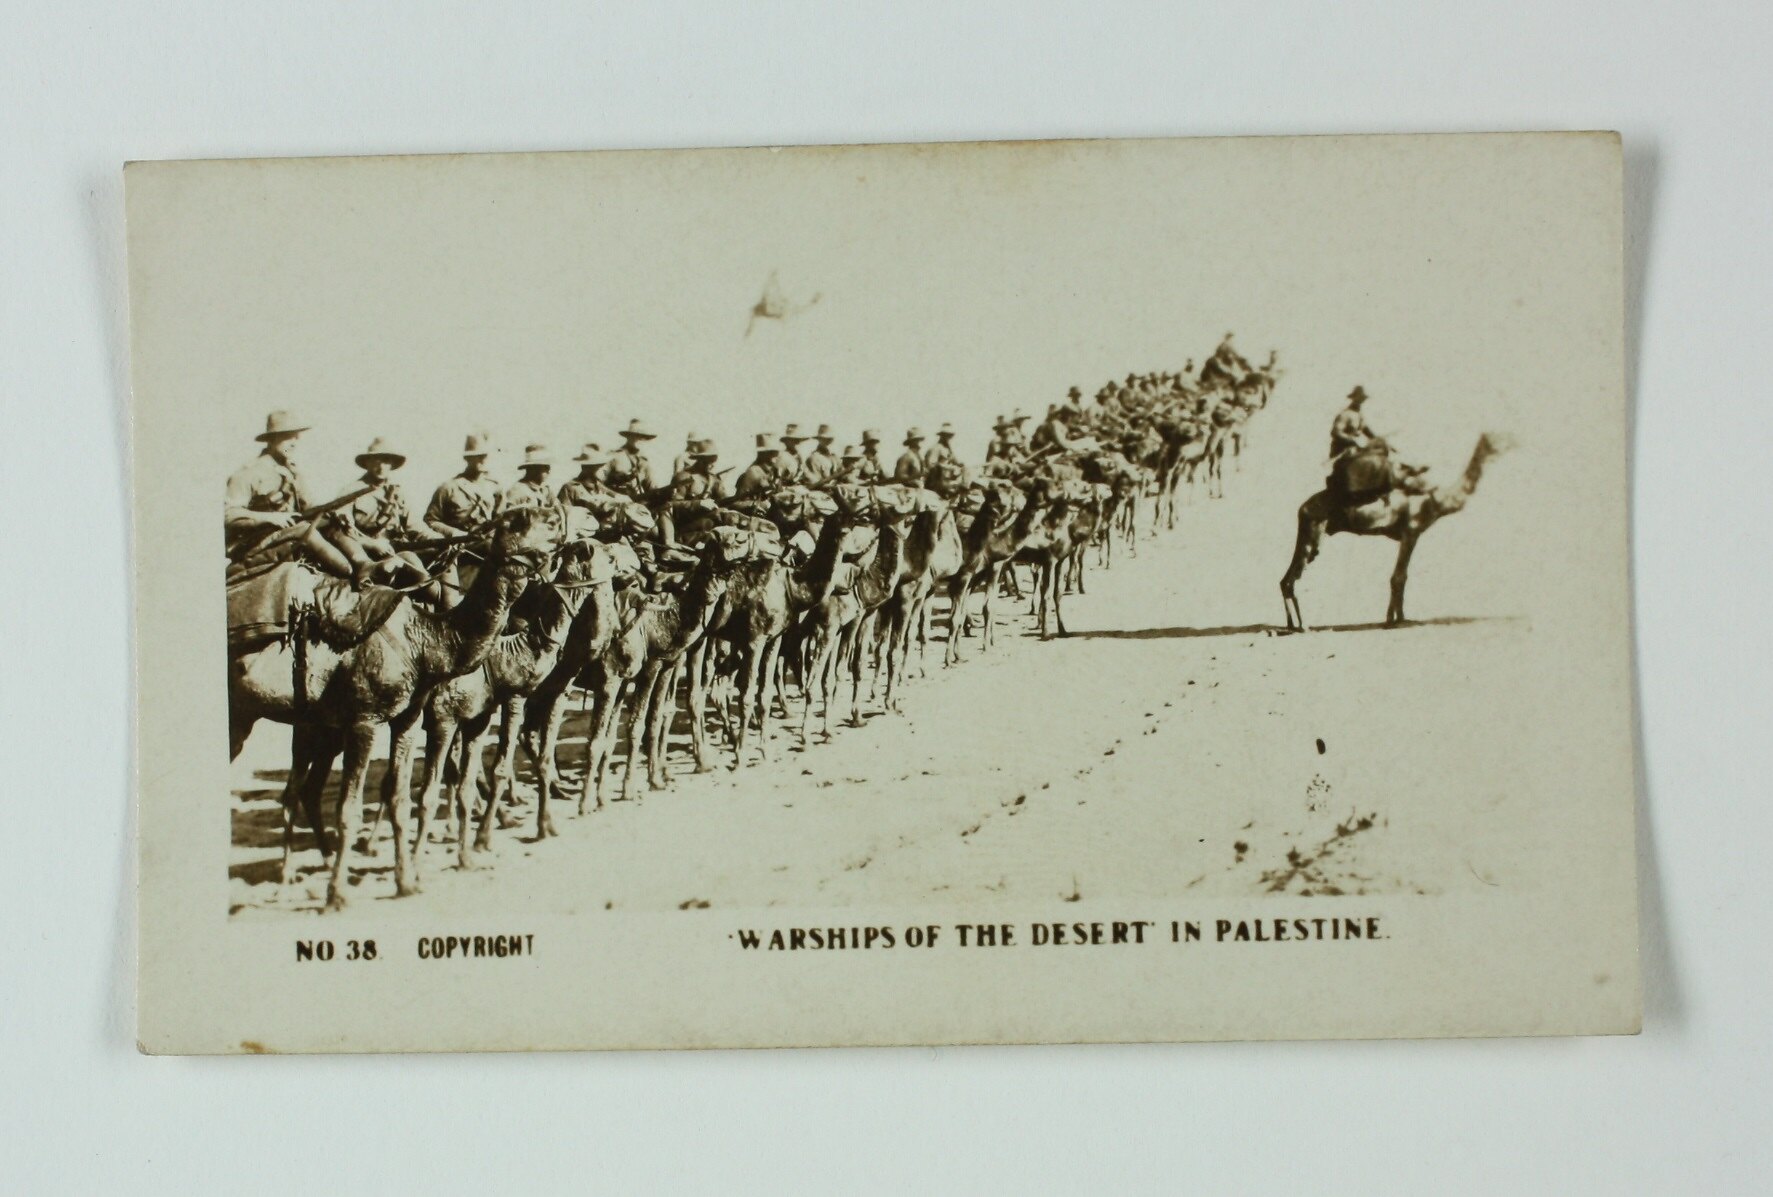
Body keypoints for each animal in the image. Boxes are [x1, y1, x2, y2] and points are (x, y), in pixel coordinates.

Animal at [294, 506, 564, 909]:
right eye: (519, 520)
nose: (558, 517)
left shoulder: (467, 716)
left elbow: (451, 781)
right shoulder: (435, 718)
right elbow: (431, 789)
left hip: (324, 729)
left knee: (307, 789)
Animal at [1280, 433, 1512, 632]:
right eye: (1499, 437)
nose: (1514, 442)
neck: (1437, 500)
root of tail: (1302, 508)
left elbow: (1401, 577)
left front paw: (1396, 618)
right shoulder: (1411, 532)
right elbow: (1398, 577)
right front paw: (1396, 621)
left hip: (1308, 531)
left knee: (1286, 580)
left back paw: (1292, 625)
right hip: (1314, 532)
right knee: (1294, 577)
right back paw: (1304, 625)